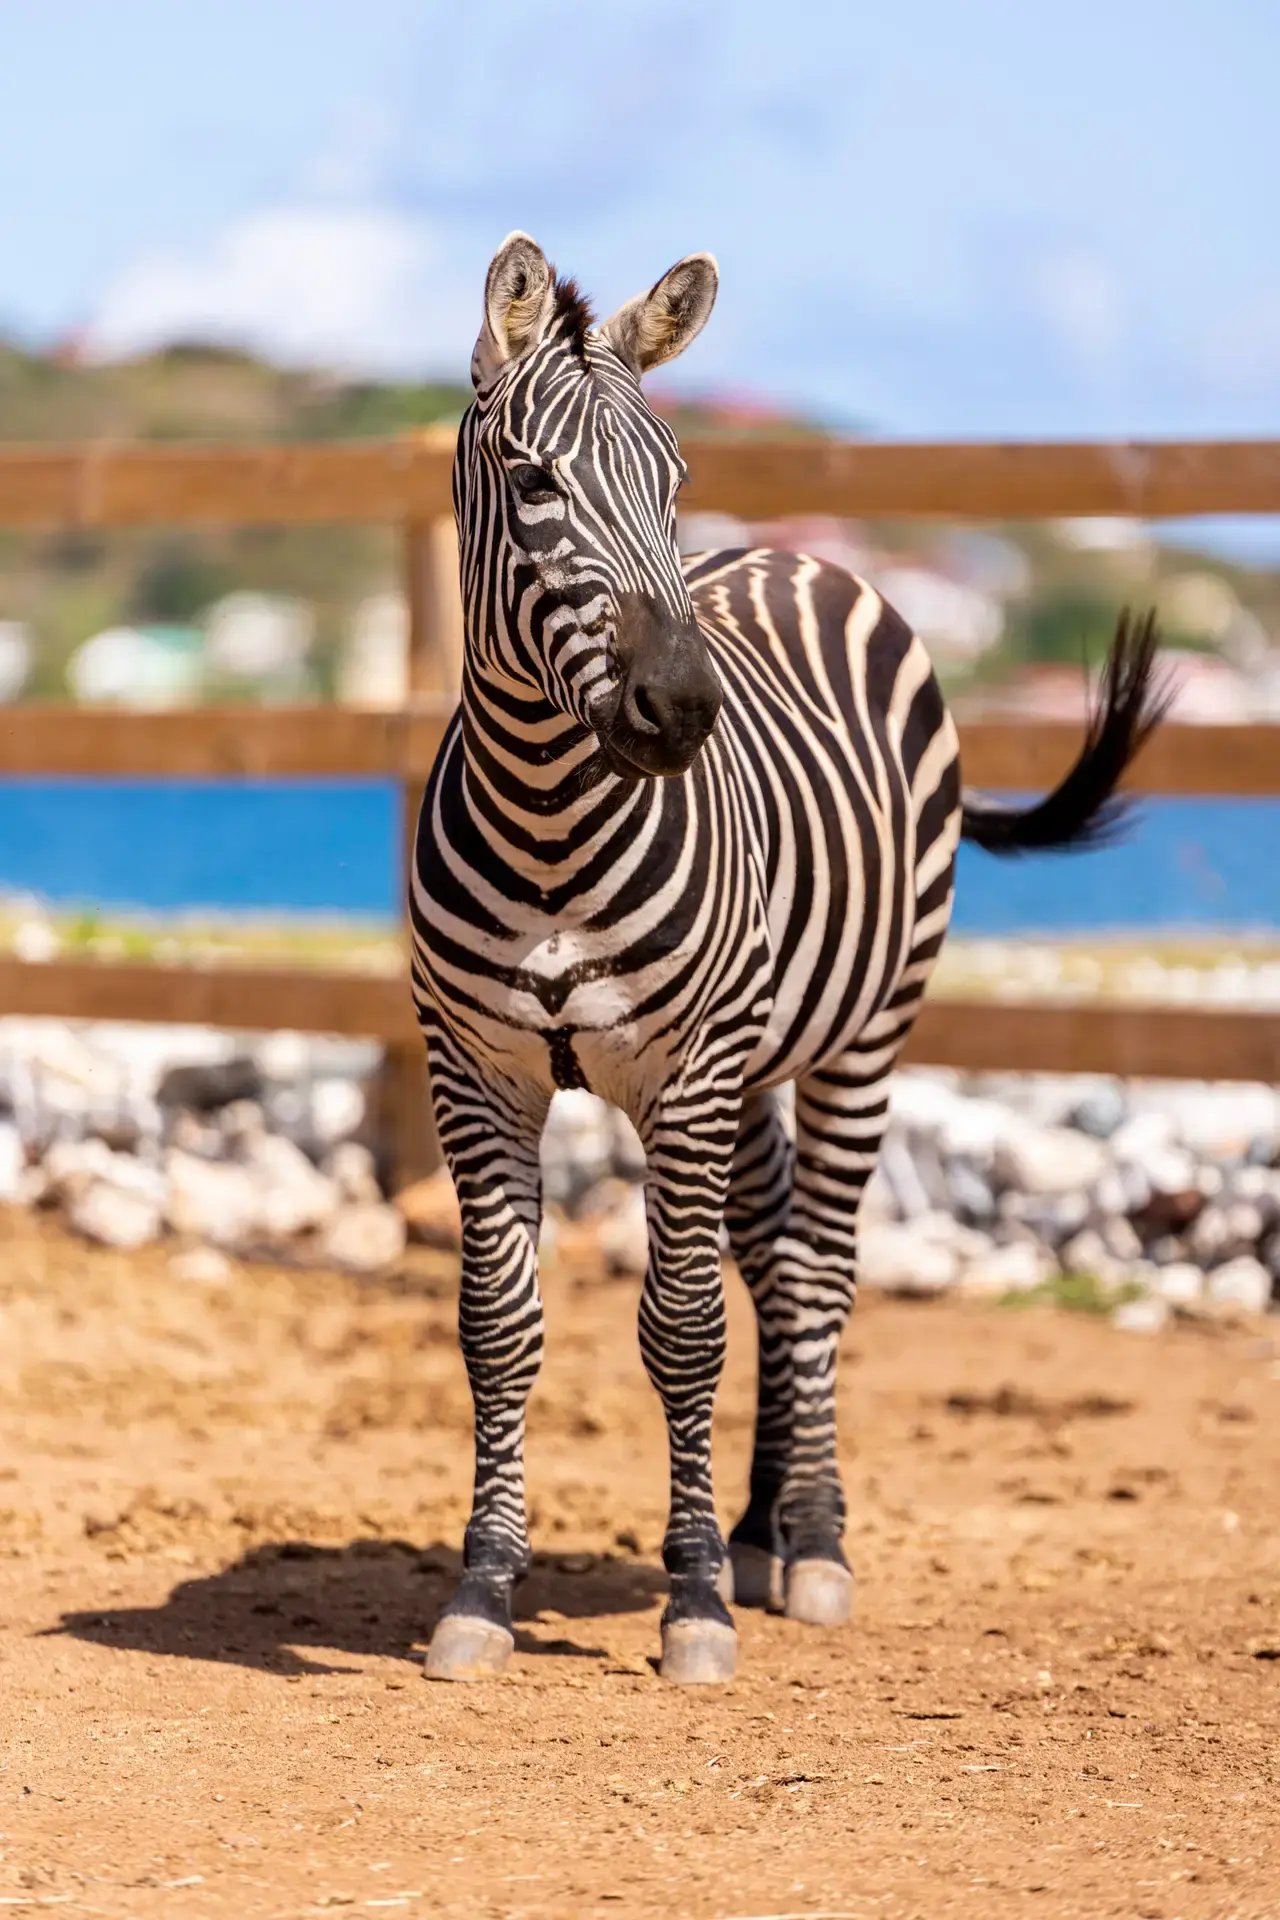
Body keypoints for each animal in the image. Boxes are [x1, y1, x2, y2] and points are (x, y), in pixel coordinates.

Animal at [409, 233, 1165, 1685]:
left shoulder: (688, 1073)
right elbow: (498, 1328)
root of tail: (802, 561)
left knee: (814, 1270)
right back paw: (763, 1525)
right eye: (535, 484)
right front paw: (483, 1588)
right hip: (763, 1055)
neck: (548, 821)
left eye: (674, 485)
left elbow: (682, 1328)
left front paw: (694, 1600)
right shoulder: (476, 1072)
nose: (681, 710)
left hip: (863, 1037)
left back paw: (808, 1541)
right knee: (769, 1262)